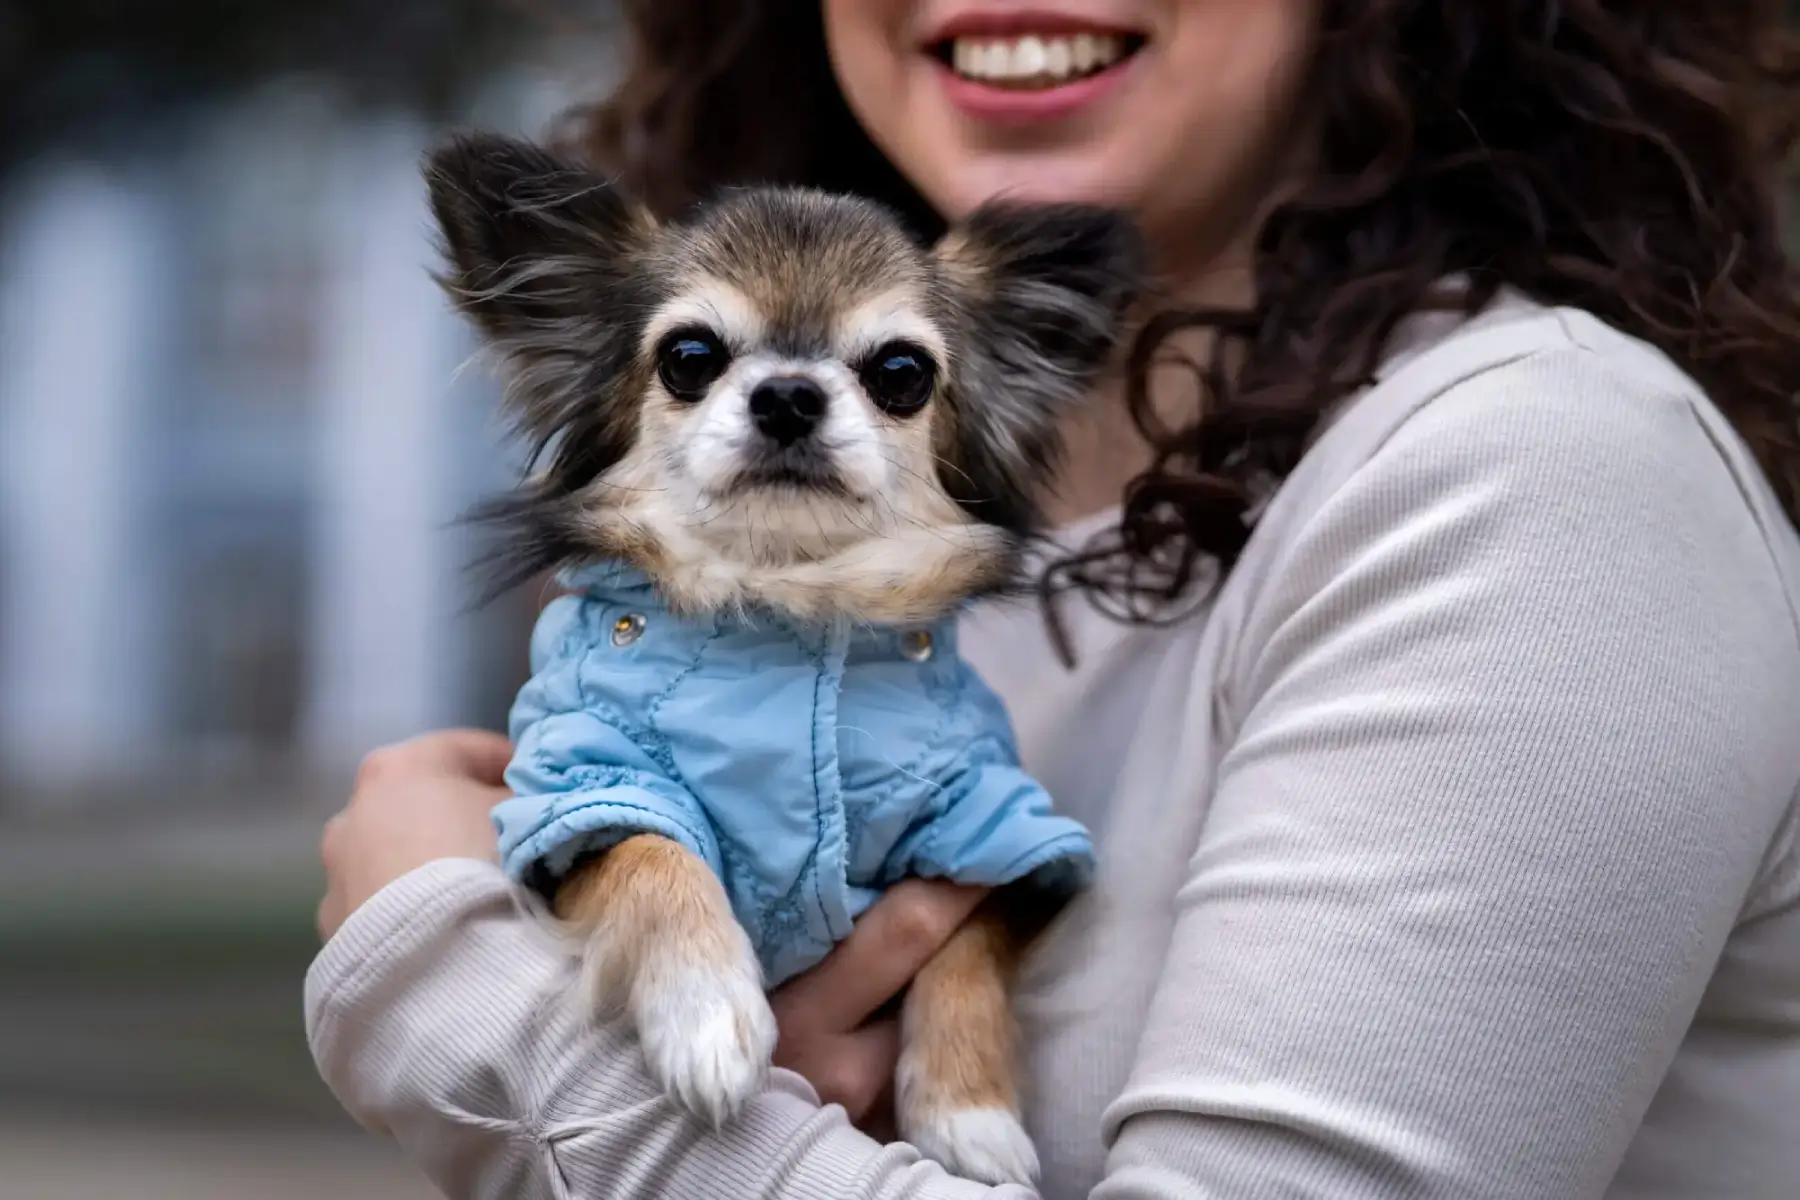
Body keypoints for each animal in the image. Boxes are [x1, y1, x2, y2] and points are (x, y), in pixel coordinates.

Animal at [424, 131, 1137, 1180]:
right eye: (689, 358)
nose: (790, 394)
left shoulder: (995, 825)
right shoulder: (577, 795)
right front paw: (707, 1015)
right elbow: (651, 850)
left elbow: (965, 938)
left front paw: (970, 1112)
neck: (787, 599)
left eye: (901, 372)